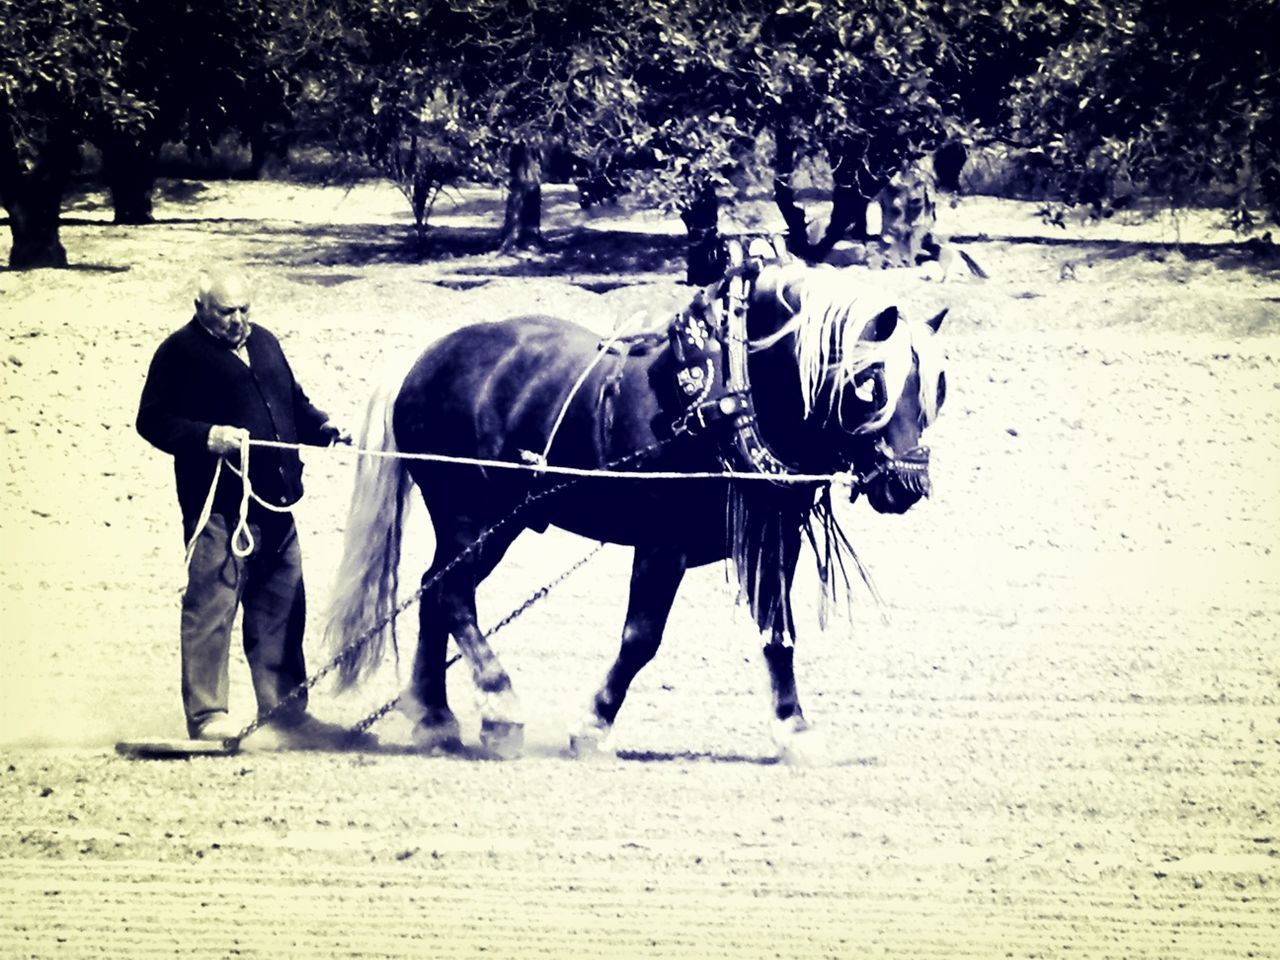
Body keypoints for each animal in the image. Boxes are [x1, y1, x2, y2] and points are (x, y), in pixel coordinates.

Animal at [325, 244, 947, 762]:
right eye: (870, 382)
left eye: (936, 388)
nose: (908, 486)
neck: (727, 396)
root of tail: (425, 357)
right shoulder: (661, 545)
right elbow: (641, 639)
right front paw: (592, 727)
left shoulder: (774, 541)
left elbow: (778, 635)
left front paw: (794, 731)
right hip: (475, 517)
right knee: (451, 593)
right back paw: (500, 711)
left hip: (490, 522)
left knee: (434, 593)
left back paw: (437, 719)